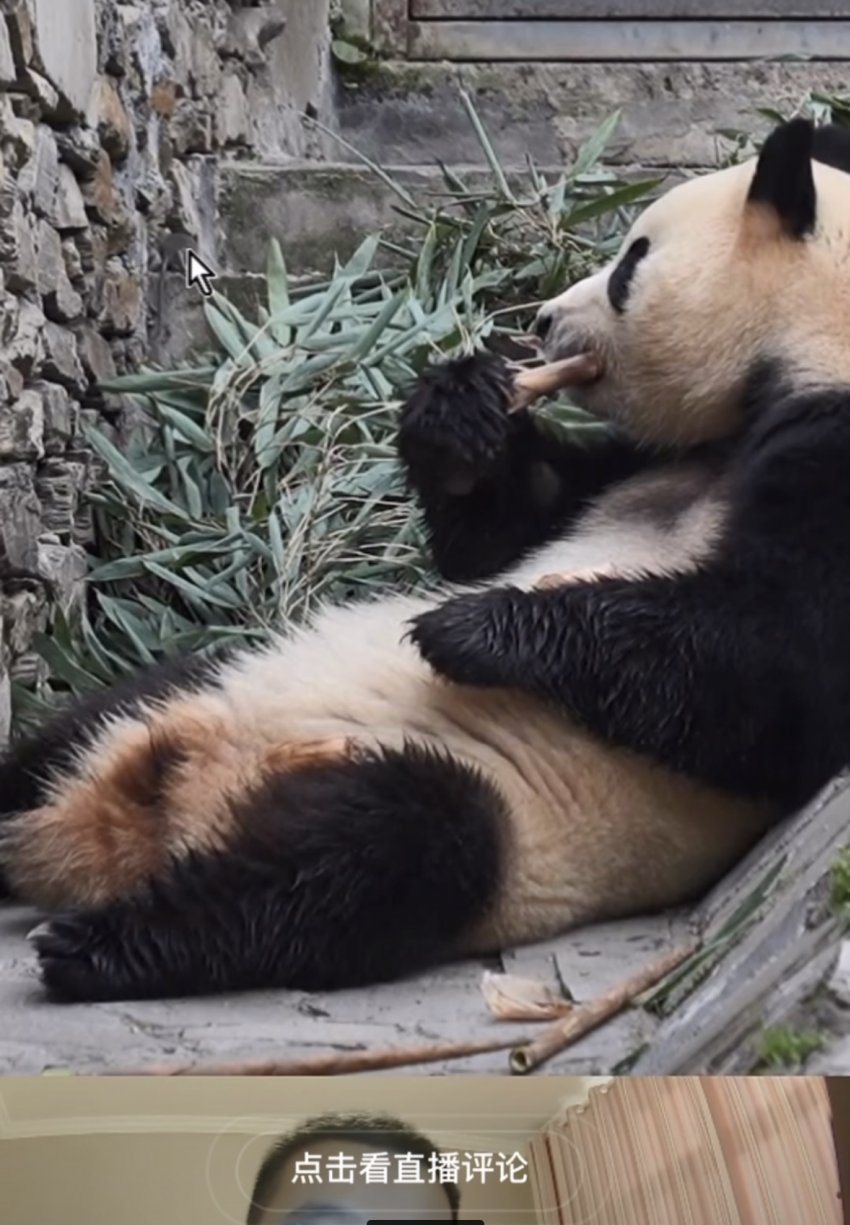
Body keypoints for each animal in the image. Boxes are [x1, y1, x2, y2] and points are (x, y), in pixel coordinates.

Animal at [1, 119, 850, 1004]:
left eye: (629, 265)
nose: (542, 321)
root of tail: (132, 824)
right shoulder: (640, 463)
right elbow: (505, 530)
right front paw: (463, 410)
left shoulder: (833, 450)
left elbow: (776, 663)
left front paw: (472, 628)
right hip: (208, 677)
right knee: (68, 735)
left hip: (499, 806)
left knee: (368, 857)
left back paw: (104, 943)